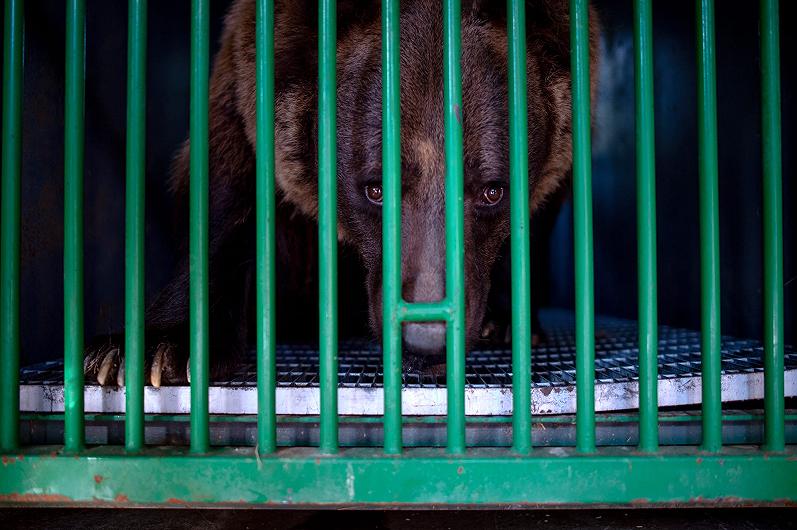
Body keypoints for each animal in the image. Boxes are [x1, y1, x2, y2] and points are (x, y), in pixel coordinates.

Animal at [85, 0, 596, 384]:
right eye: (375, 188)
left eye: (492, 191)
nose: (427, 339)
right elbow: (224, 193)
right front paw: (151, 349)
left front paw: (505, 317)